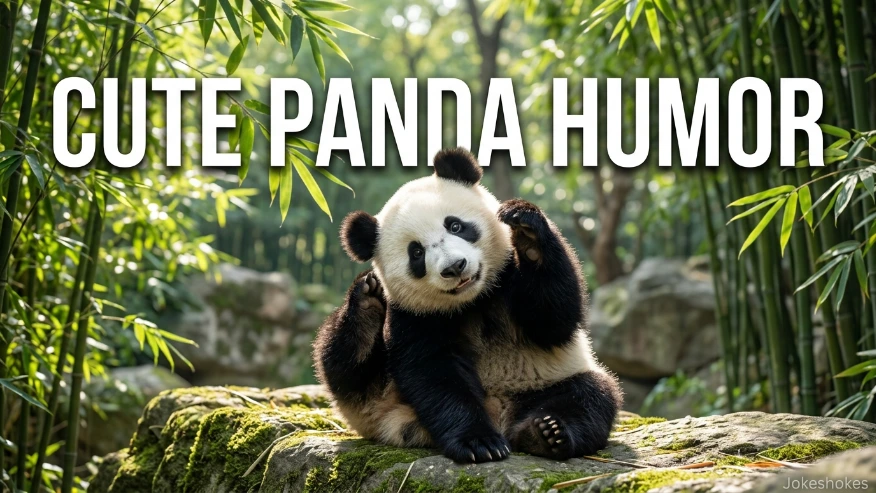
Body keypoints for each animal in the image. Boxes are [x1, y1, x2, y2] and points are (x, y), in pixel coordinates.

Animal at [313, 147, 622, 463]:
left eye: (455, 225)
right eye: (416, 253)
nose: (455, 267)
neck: (473, 300)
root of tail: (501, 413)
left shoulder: (509, 278)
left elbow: (553, 320)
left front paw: (527, 232)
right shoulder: (413, 315)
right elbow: (433, 371)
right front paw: (479, 443)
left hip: (545, 381)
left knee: (591, 396)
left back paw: (546, 432)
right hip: (376, 399)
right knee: (343, 364)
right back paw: (365, 302)